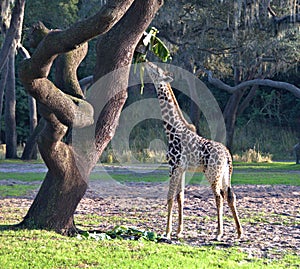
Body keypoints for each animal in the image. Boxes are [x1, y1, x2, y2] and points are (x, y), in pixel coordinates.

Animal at [146, 61, 244, 240]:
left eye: (156, 70)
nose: (147, 62)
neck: (172, 130)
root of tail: (227, 155)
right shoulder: (182, 169)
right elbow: (180, 197)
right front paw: (179, 231)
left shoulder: (173, 167)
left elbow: (170, 197)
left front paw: (167, 232)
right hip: (225, 173)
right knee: (230, 196)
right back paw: (239, 232)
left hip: (212, 173)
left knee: (219, 196)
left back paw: (219, 233)